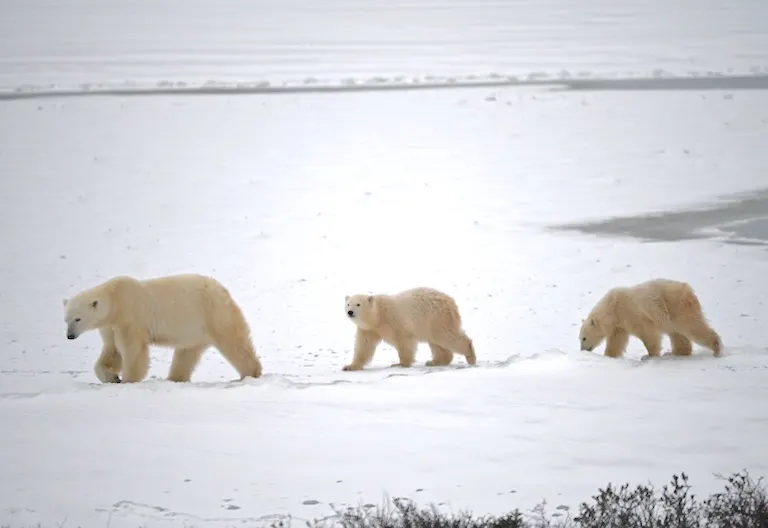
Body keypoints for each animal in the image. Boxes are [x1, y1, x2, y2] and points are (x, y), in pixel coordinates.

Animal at [62, 273, 263, 383]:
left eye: (78, 318)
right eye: (66, 319)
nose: (70, 336)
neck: (115, 300)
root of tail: (222, 289)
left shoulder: (129, 316)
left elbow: (132, 349)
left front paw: (128, 379)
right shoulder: (110, 326)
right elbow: (112, 351)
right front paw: (112, 377)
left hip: (212, 314)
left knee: (234, 342)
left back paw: (250, 372)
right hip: (194, 330)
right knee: (186, 354)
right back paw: (175, 378)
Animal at [342, 287, 477, 371]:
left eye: (358, 304)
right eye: (348, 304)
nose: (350, 312)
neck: (378, 316)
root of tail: (451, 301)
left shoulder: (395, 321)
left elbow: (404, 341)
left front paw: (400, 364)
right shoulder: (368, 329)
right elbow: (363, 346)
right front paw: (350, 366)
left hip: (437, 318)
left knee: (447, 336)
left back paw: (470, 357)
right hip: (431, 323)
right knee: (437, 342)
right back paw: (434, 361)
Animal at [579, 278, 722, 359]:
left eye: (584, 338)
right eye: (580, 338)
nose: (582, 350)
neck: (613, 306)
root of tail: (689, 290)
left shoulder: (631, 312)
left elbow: (648, 333)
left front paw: (650, 355)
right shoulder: (619, 324)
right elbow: (616, 341)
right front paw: (609, 356)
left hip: (677, 306)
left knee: (692, 326)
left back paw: (717, 349)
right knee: (677, 333)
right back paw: (676, 353)